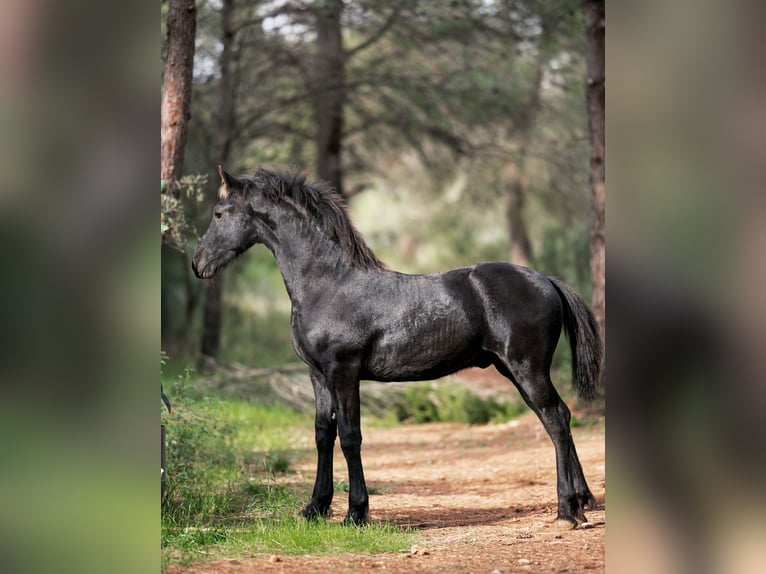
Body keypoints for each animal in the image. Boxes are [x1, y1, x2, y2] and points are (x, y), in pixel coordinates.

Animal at [192, 166, 602, 527]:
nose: (198, 263)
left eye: (218, 213)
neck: (328, 284)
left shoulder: (344, 372)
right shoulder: (317, 375)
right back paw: (583, 500)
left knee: (555, 420)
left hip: (526, 369)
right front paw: (316, 508)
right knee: (560, 417)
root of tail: (546, 280)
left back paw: (567, 511)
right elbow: (323, 434)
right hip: (515, 371)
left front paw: (355, 513)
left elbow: (350, 436)